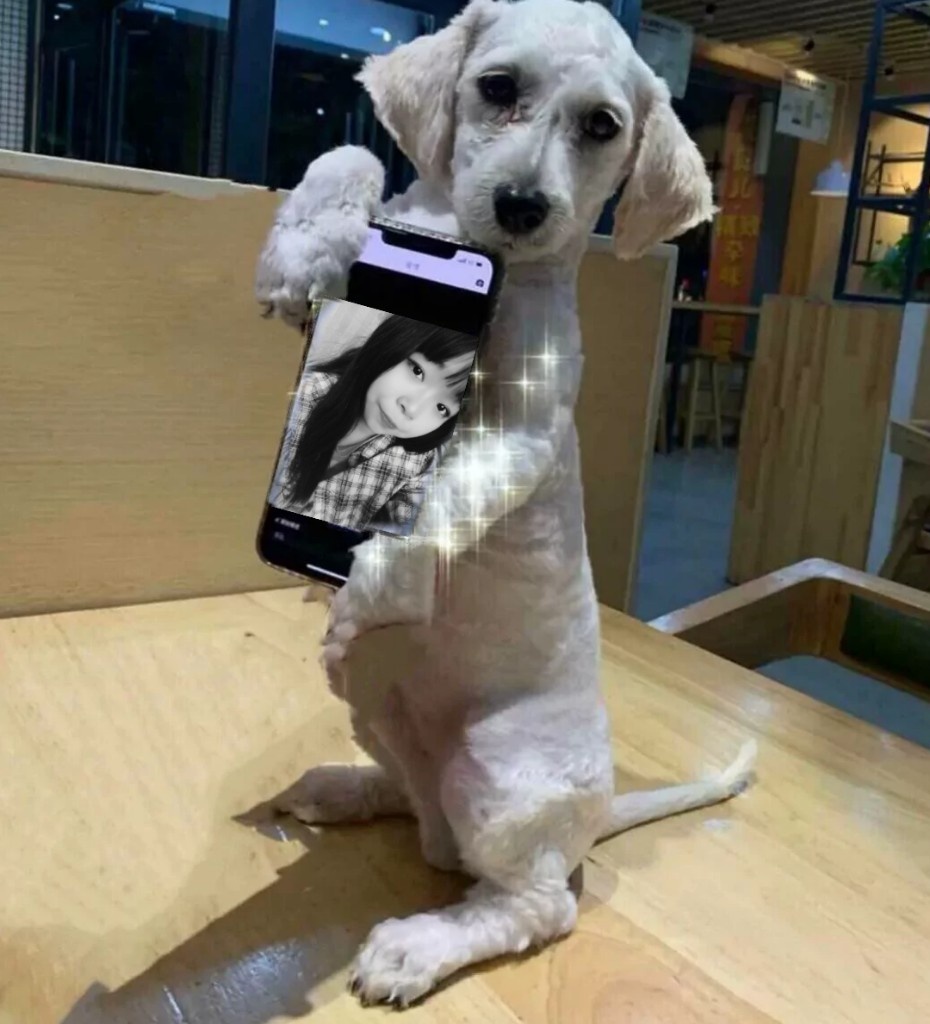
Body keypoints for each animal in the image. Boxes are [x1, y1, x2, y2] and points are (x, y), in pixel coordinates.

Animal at [255, 0, 756, 1007]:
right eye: (497, 87)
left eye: (602, 125)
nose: (523, 205)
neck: (468, 249)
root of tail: (593, 816)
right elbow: (353, 158)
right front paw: (306, 248)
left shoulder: (521, 437)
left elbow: (432, 512)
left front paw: (368, 580)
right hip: (381, 720)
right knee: (426, 818)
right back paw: (347, 787)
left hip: (499, 772)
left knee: (530, 904)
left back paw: (418, 945)